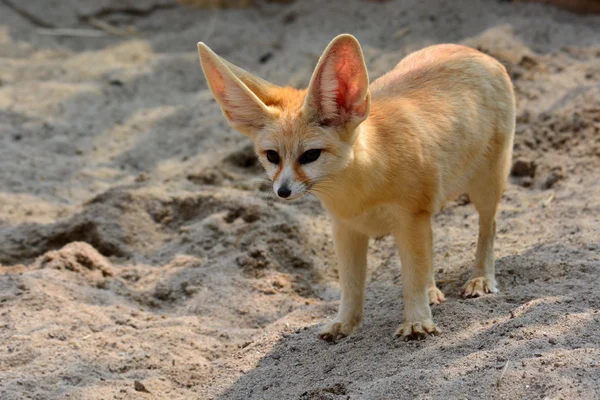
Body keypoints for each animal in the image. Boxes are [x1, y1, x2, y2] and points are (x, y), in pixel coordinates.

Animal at [197, 35, 516, 340]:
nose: (282, 191)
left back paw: (481, 278)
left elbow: (411, 278)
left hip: (485, 187)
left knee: (488, 227)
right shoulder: (346, 228)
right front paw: (345, 323)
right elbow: (351, 285)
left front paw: (417, 322)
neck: (359, 190)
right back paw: (433, 291)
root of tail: (474, 52)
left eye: (310, 155)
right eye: (272, 157)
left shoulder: (409, 220)